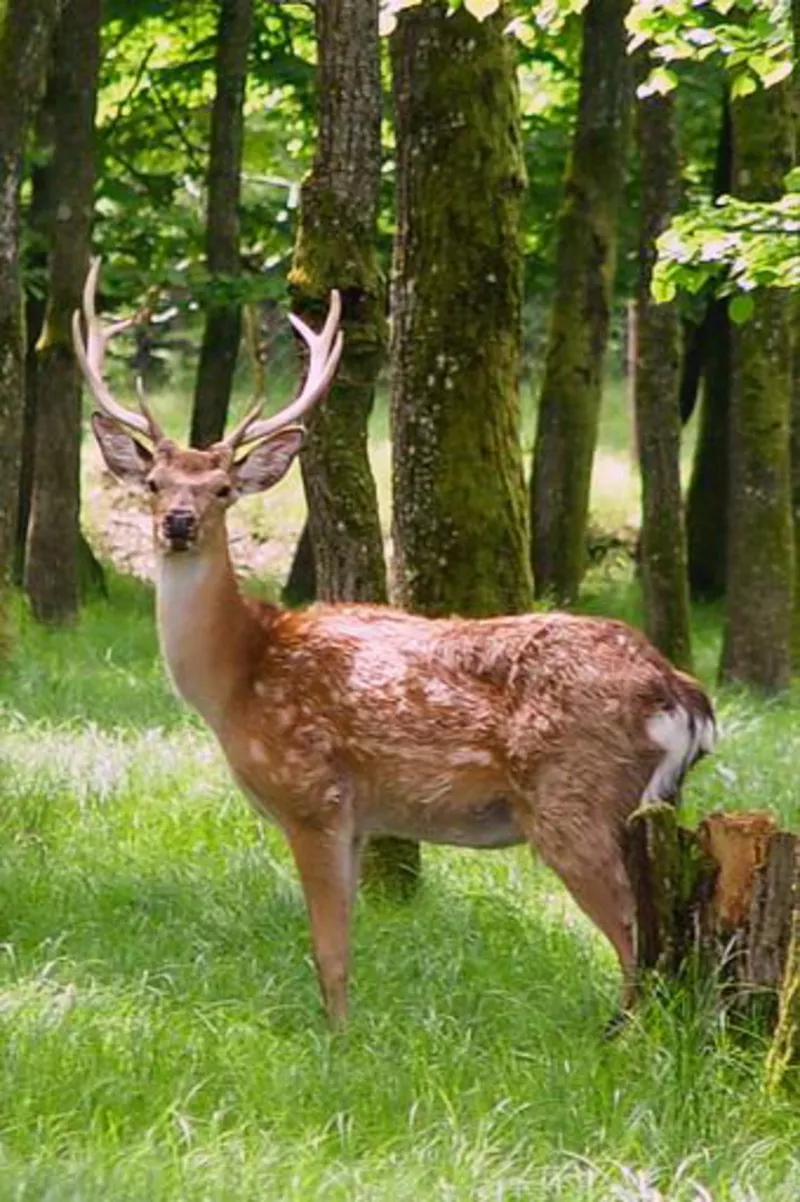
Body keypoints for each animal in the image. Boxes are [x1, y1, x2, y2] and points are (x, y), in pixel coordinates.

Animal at [74, 258, 711, 1028]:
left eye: (223, 488)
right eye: (154, 482)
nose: (178, 521)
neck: (237, 675)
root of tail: (684, 692)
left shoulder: (313, 794)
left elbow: (328, 949)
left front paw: (337, 1040)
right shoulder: (359, 820)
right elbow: (343, 947)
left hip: (575, 799)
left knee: (634, 938)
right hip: (648, 807)